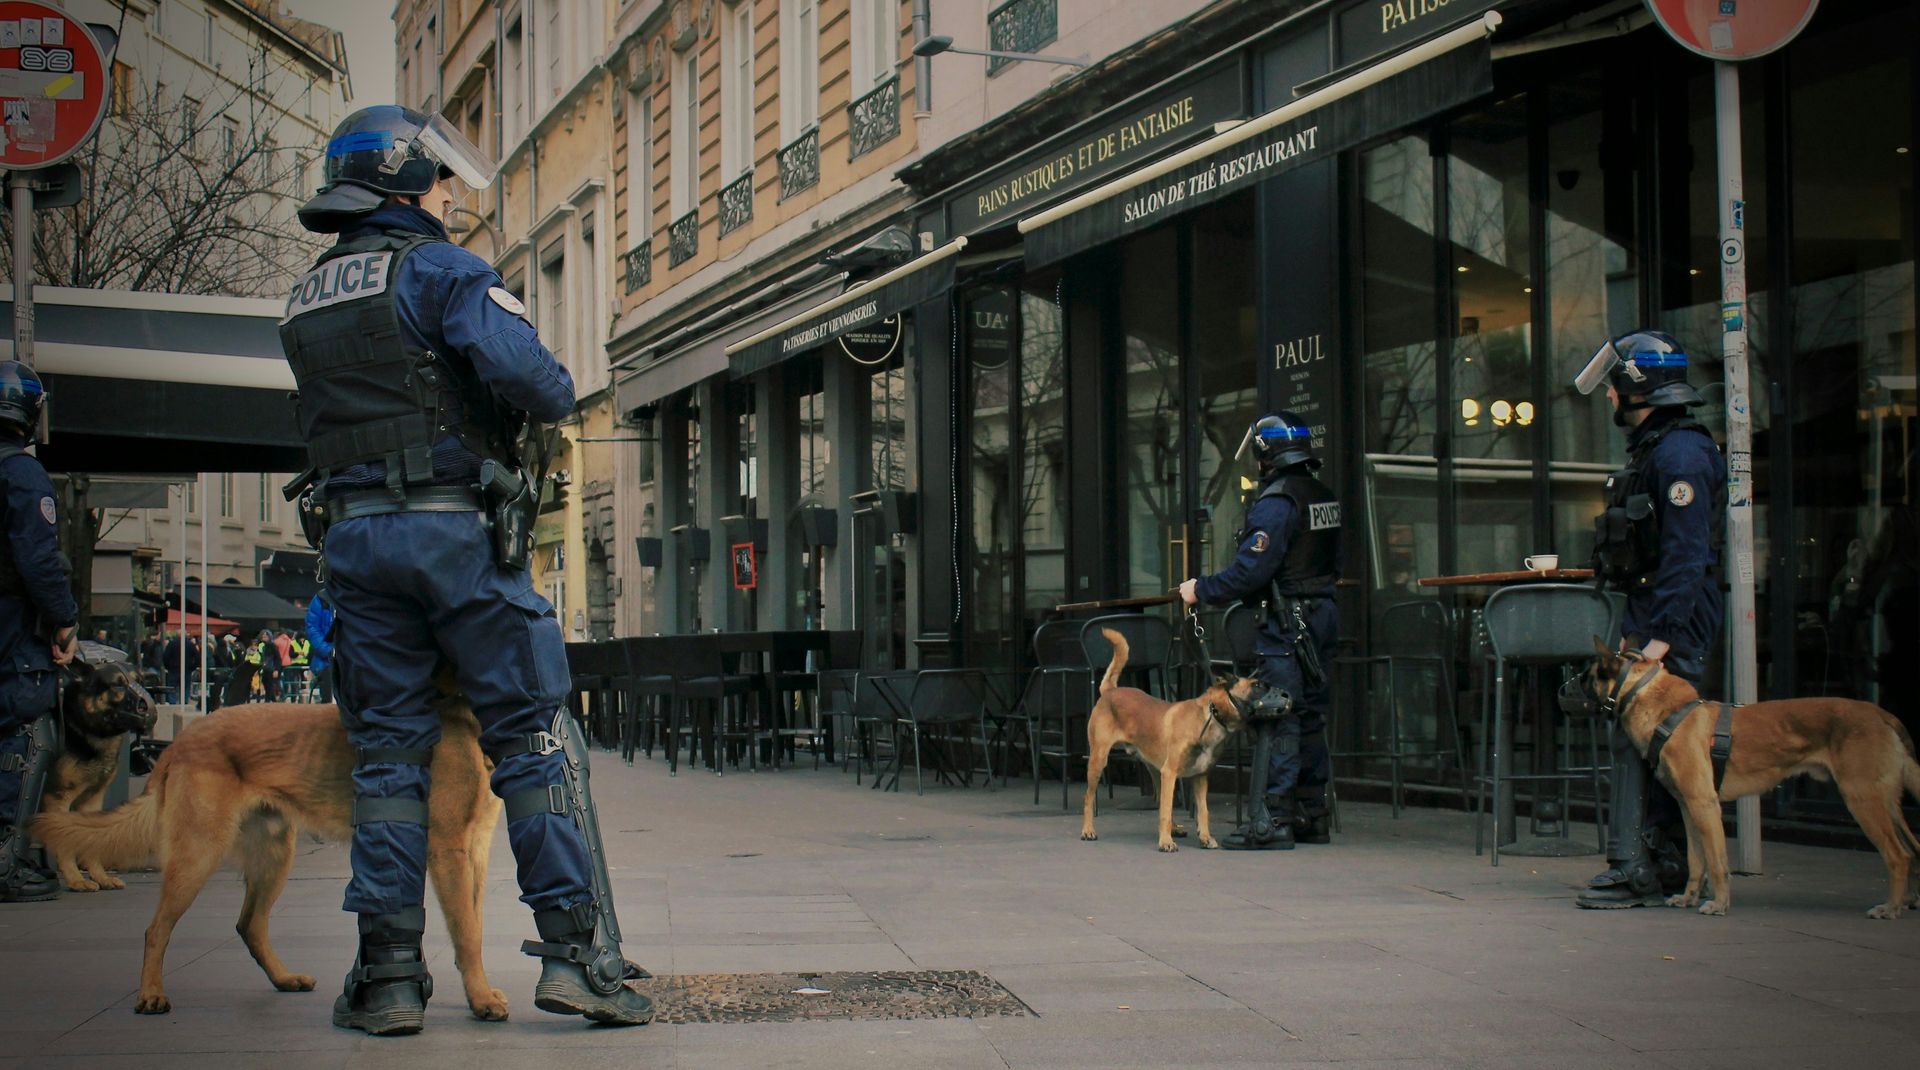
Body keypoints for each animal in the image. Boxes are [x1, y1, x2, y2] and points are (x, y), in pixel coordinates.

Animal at [38, 691, 510, 1014]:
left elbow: (476, 925)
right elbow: (468, 932)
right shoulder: (450, 850)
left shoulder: (477, 851)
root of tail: (181, 740)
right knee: (157, 930)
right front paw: (480, 999)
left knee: (249, 924)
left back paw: (283, 979)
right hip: (198, 854)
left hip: (274, 855)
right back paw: (151, 994)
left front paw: (478, 991)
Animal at [39, 645, 156, 887]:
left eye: (139, 680)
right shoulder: (58, 800)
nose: (147, 709)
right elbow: (66, 843)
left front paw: (100, 877)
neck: (84, 728)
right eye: (117, 684)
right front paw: (76, 881)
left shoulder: (92, 801)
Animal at [1082, 626, 1274, 852]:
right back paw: (1088, 830)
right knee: (1089, 797)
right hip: (1100, 761)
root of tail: (1110, 690)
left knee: (1160, 800)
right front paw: (1165, 842)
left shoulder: (1199, 777)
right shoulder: (1171, 772)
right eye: (1257, 685)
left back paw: (1175, 829)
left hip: (1156, 770)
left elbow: (1202, 811)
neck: (1210, 716)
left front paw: (1205, 837)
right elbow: (1166, 810)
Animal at [1574, 641, 1920, 918]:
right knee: (1913, 848)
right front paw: (1688, 897)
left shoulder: (1705, 805)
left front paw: (1719, 904)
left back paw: (1891, 907)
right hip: (1887, 803)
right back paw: (1907, 901)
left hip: (1863, 800)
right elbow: (1696, 860)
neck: (1668, 713)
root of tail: (1884, 716)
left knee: (1898, 855)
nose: (1565, 689)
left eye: (1587, 675)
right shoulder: (1688, 808)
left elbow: (1716, 862)